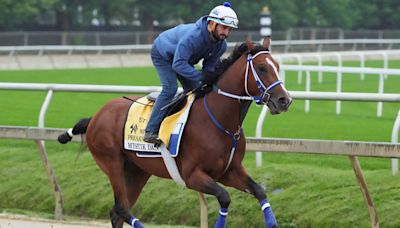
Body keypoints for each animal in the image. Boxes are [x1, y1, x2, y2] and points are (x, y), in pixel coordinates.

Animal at [58, 37, 290, 228]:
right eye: (262, 67)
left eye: (278, 66)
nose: (284, 100)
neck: (219, 120)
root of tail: (96, 116)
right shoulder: (192, 175)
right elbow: (224, 197)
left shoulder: (229, 171)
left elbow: (259, 191)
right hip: (112, 164)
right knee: (122, 208)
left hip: (137, 171)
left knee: (117, 212)